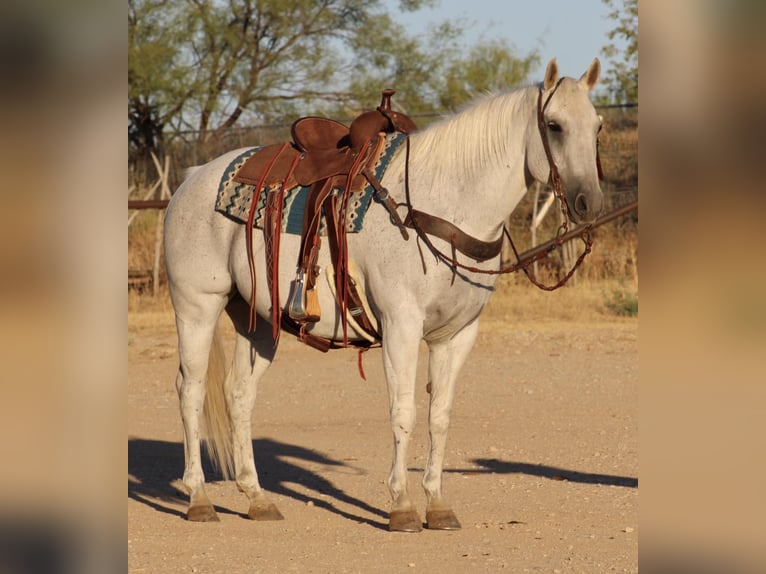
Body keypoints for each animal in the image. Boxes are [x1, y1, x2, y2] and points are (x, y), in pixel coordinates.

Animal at [164, 57, 608, 532]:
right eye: (554, 125)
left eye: (597, 125)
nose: (589, 203)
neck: (440, 206)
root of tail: (191, 180)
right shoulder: (401, 326)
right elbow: (404, 412)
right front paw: (402, 505)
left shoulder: (457, 335)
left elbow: (440, 415)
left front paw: (437, 504)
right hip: (197, 307)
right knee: (190, 390)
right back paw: (199, 499)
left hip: (258, 321)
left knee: (239, 394)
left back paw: (257, 498)